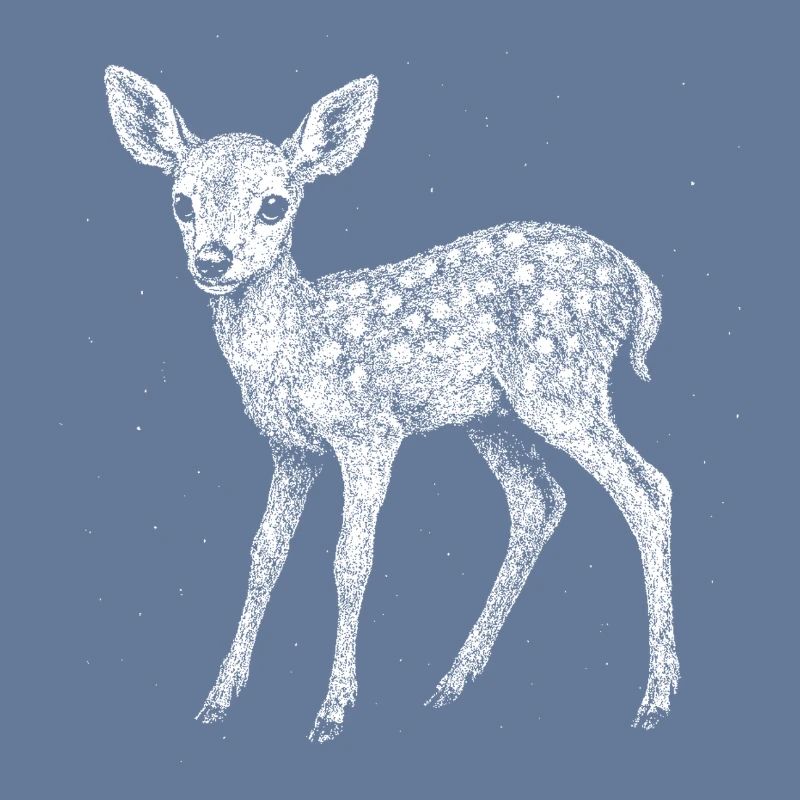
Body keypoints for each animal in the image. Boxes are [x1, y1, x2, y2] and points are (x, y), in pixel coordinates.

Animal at [104, 65, 679, 742]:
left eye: (274, 204)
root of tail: (639, 284)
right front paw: (219, 697)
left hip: (561, 383)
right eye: (181, 202)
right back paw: (453, 681)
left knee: (646, 487)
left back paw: (657, 698)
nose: (213, 260)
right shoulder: (291, 449)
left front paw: (333, 708)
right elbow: (264, 553)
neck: (297, 344)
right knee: (540, 501)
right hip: (495, 416)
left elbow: (350, 560)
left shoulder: (368, 433)